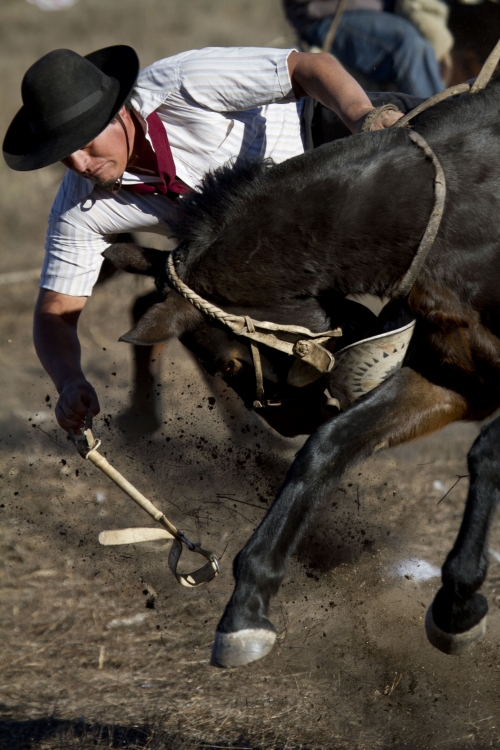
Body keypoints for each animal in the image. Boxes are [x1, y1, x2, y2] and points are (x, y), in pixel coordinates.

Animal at [105, 78, 500, 668]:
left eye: (226, 361)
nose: (286, 425)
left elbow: (485, 454)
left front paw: (459, 598)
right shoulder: (456, 381)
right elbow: (328, 447)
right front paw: (246, 605)